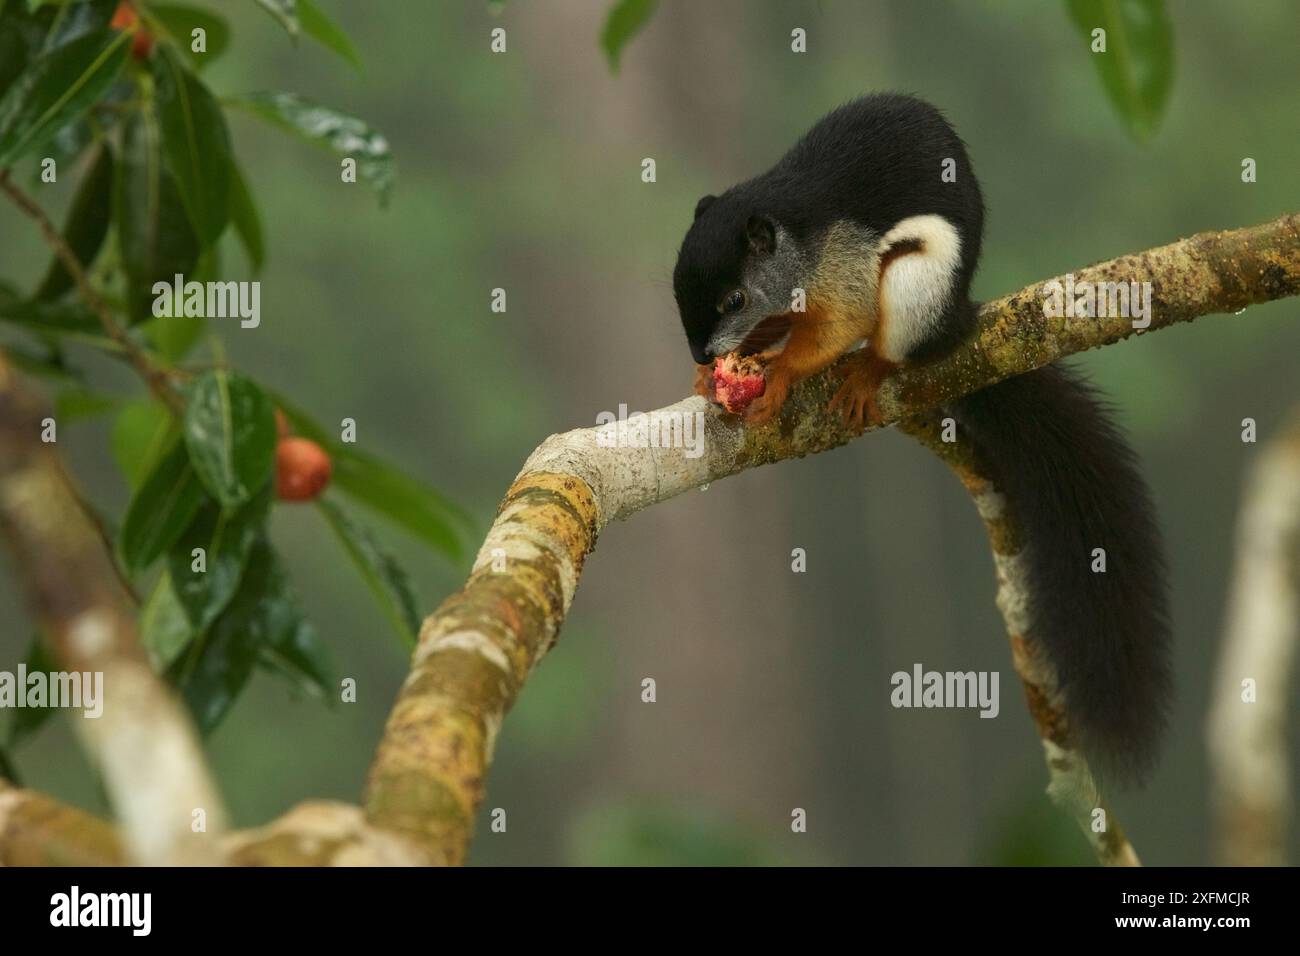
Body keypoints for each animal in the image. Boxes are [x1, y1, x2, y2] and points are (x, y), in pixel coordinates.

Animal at [672, 93, 1171, 783]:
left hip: (918, 284)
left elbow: (842, 322)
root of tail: (954, 326)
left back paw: (870, 371)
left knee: (890, 337)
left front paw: (778, 377)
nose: (700, 351)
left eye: (735, 298)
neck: (794, 240)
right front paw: (715, 374)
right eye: (678, 289)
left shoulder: (843, 266)